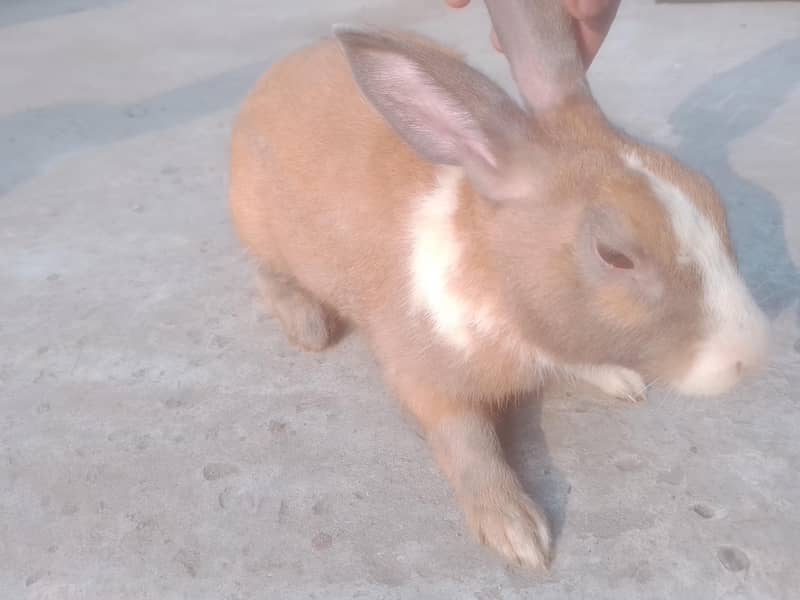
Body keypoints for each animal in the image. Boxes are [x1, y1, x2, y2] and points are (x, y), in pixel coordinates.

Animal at [228, 0, 769, 570]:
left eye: (710, 195)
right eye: (614, 255)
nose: (752, 355)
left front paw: (619, 379)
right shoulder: (427, 376)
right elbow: (468, 442)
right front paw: (517, 532)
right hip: (260, 230)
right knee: (265, 273)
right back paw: (307, 324)